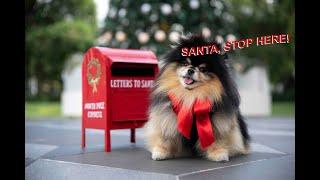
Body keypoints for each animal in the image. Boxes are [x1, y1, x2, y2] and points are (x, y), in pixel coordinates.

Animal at [142, 33, 250, 162]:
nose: (190, 70)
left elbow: (218, 138)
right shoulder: (167, 117)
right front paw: (160, 152)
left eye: (203, 69)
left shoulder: (218, 122)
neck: (191, 96)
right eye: (185, 63)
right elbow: (165, 137)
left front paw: (219, 153)